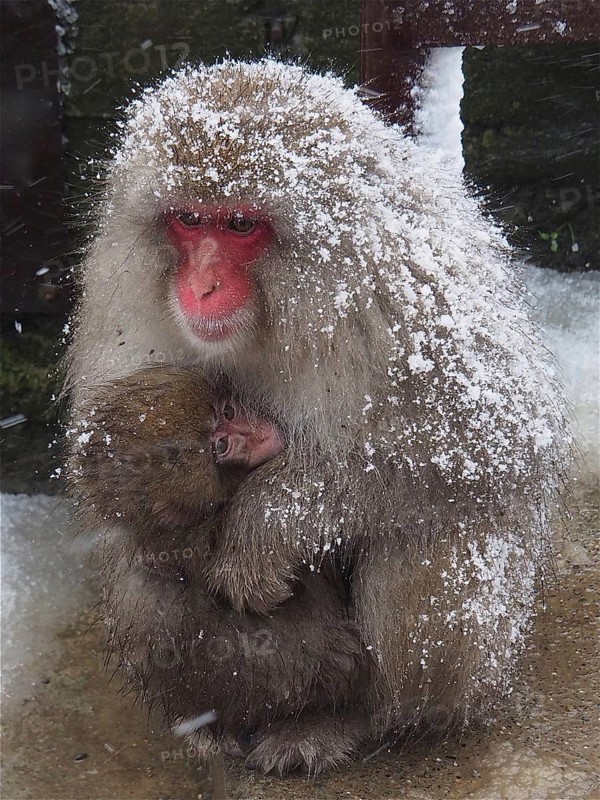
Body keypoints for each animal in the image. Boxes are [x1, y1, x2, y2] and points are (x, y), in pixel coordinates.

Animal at [66, 60, 569, 774]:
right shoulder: (121, 292)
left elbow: (484, 438)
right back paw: (222, 723)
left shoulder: (399, 289)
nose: (202, 287)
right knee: (144, 580)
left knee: (430, 546)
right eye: (189, 220)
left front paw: (264, 525)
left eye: (240, 225)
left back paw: (361, 722)